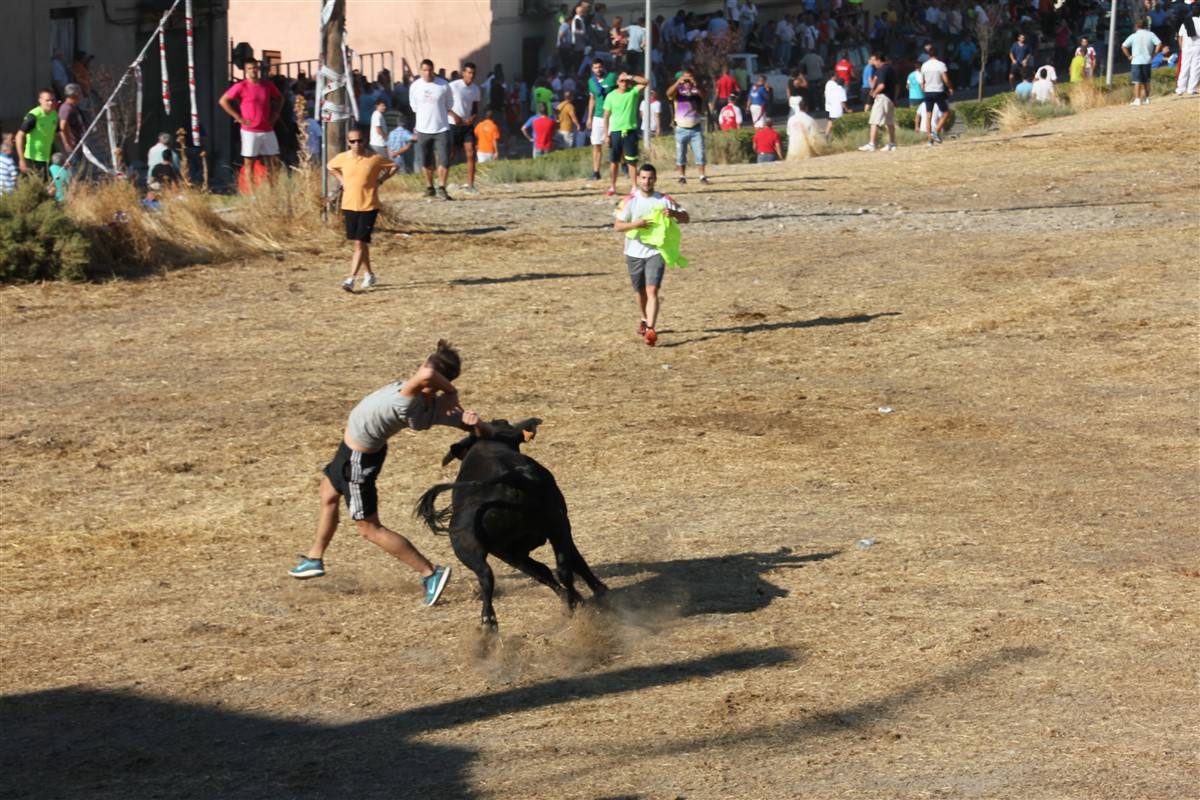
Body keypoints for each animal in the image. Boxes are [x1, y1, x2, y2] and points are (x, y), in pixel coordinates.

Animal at [420, 419, 609, 633]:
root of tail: (509, 482)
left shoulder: (509, 551)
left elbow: (545, 570)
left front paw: (583, 596)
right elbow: (564, 563)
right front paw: (593, 592)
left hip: (477, 548)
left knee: (487, 575)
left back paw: (489, 620)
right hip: (554, 527)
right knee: (561, 568)